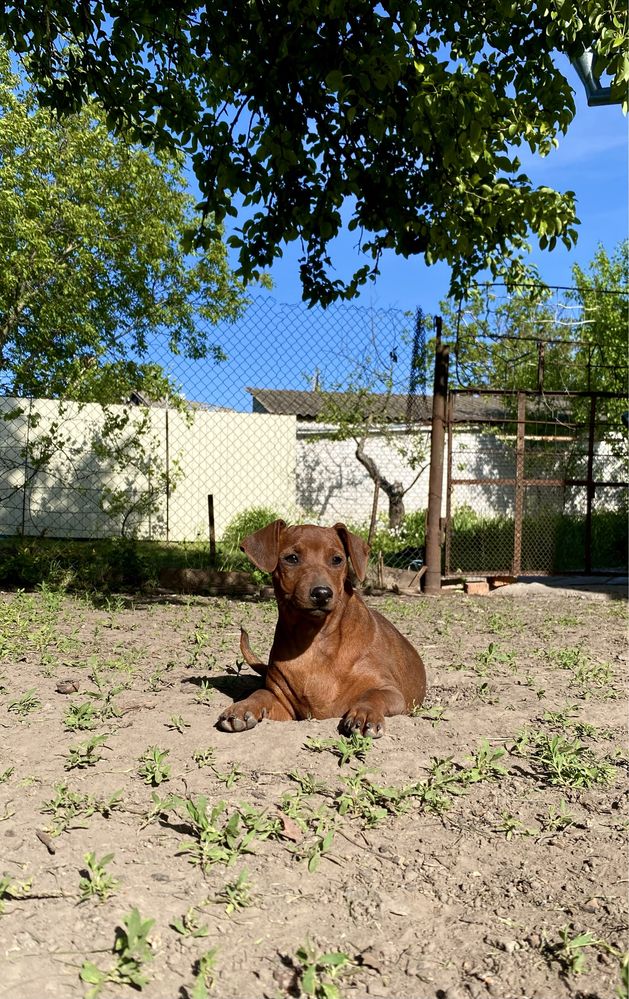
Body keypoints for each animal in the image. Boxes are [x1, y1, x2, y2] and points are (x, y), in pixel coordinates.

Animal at [217, 520, 426, 740]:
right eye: (292, 558)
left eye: (337, 560)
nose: (322, 593)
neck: (315, 639)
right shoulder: (285, 706)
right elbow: (261, 693)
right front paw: (243, 706)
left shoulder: (392, 692)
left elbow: (373, 694)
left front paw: (365, 713)